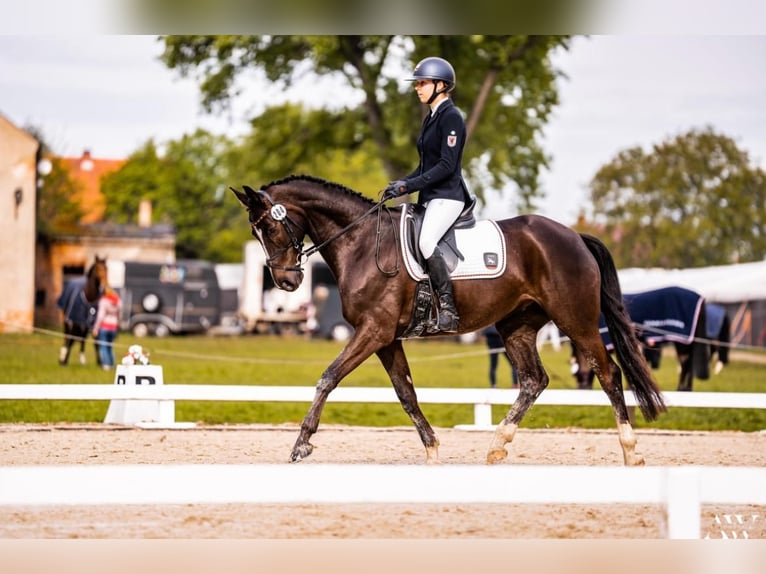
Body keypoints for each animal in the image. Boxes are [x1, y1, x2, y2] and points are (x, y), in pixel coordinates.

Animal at [230, 176, 664, 468]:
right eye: (256, 229)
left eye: (270, 226)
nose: (287, 282)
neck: (361, 244)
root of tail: (574, 235)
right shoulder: (387, 338)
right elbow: (406, 393)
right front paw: (432, 448)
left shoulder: (374, 332)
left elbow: (328, 377)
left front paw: (301, 444)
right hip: (516, 326)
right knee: (533, 380)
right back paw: (497, 445)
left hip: (577, 321)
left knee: (609, 375)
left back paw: (631, 452)